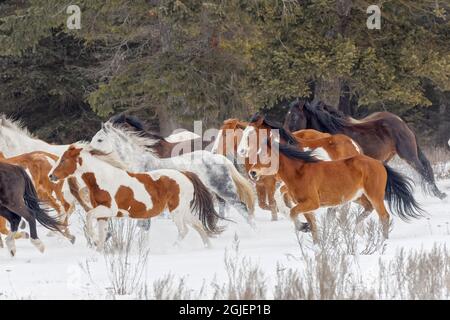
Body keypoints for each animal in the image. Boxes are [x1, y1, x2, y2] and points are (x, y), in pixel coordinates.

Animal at [89, 121, 255, 221]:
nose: (88, 151)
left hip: (225, 190)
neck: (139, 163)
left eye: (100, 139)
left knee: (243, 208)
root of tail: (221, 158)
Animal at [215, 116, 362, 221]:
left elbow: (275, 199)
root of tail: (353, 144)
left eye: (225, 134)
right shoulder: (261, 182)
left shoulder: (277, 182)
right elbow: (265, 203)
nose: (241, 150)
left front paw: (283, 214)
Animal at [284, 100, 446, 200]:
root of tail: (401, 122)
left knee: (424, 171)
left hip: (408, 155)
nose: (285, 135)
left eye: (295, 117)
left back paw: (438, 194)